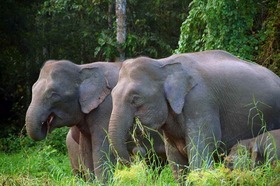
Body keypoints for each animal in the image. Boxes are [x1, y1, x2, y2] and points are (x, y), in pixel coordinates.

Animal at [24, 60, 166, 183]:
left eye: (53, 94)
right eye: (33, 89)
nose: (45, 124)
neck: (82, 68)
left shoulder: (106, 109)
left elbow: (102, 149)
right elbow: (86, 150)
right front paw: (92, 182)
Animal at [108, 50, 280, 181]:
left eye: (135, 98)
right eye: (112, 95)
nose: (138, 153)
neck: (163, 65)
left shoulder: (200, 102)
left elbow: (200, 151)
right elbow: (175, 160)